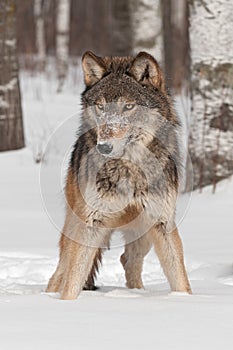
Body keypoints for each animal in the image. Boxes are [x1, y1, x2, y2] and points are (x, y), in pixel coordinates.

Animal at [46, 50, 192, 300]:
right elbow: (73, 279)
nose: (104, 147)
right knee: (60, 273)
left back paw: (137, 292)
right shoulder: (91, 223)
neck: (129, 168)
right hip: (76, 228)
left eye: (128, 107)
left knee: (128, 259)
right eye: (100, 107)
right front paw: (67, 304)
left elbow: (180, 278)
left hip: (144, 234)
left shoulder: (163, 223)